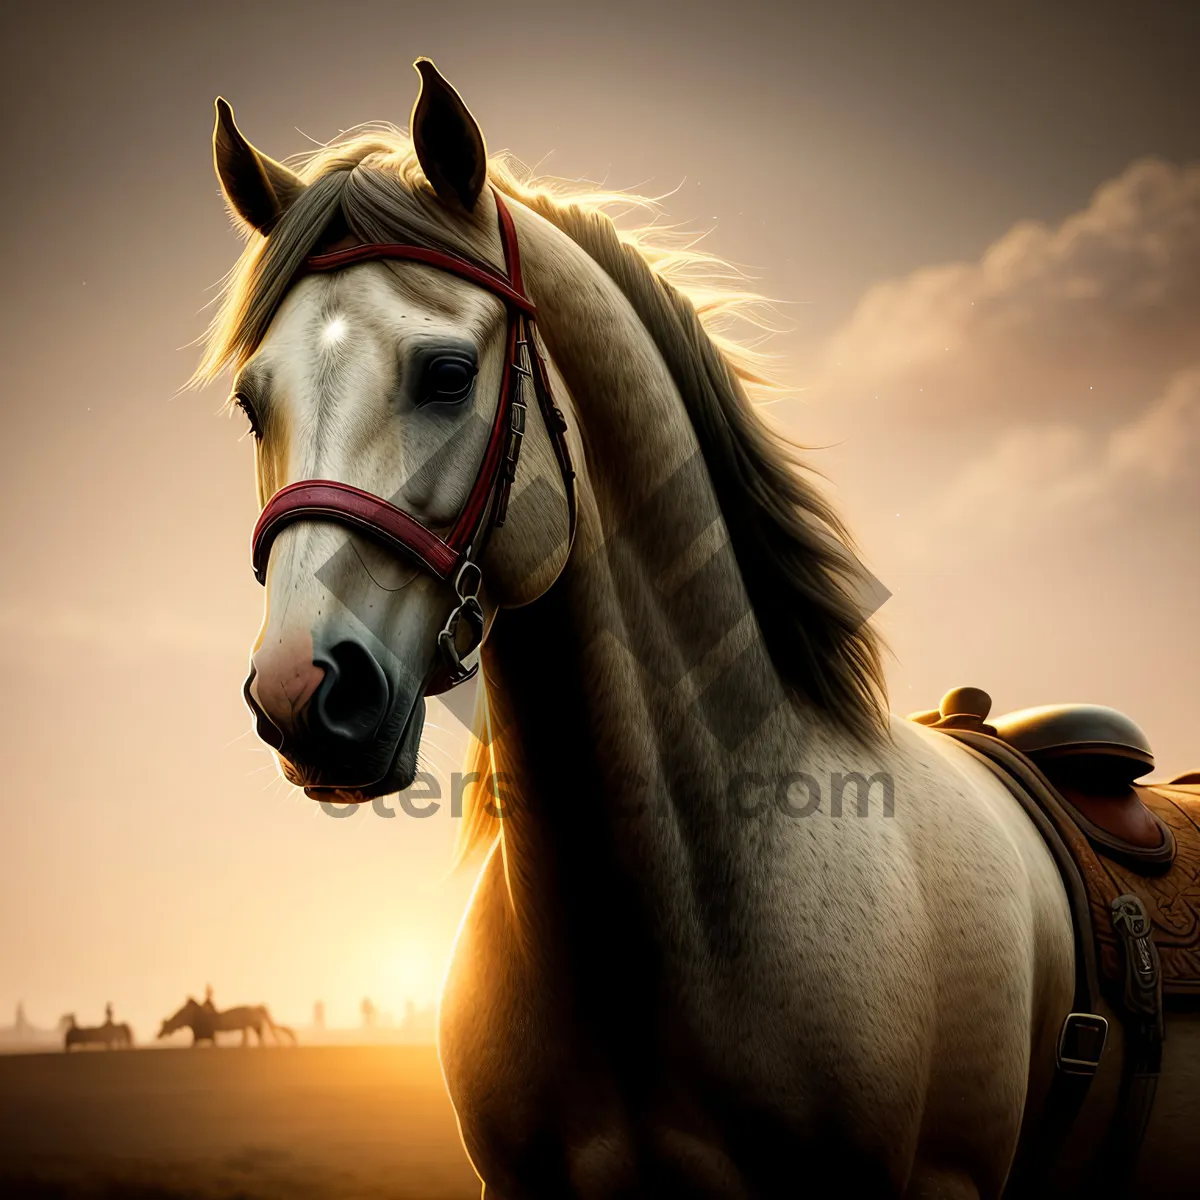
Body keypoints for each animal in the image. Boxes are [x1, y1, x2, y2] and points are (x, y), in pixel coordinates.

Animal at [157, 998, 297, 1046]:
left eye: (164, 1026)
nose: (158, 1035)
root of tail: (257, 1008)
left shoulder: (209, 1035)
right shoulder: (199, 1037)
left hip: (254, 1026)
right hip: (251, 1027)